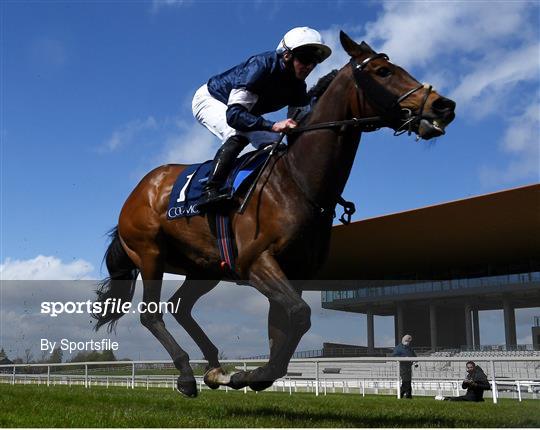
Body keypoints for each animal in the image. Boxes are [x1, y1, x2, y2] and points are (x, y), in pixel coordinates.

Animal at [94, 32, 456, 396]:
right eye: (382, 71)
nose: (443, 105)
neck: (295, 179)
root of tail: (139, 190)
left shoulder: (293, 272)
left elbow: (284, 328)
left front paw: (252, 375)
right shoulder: (255, 261)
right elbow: (299, 314)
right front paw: (251, 374)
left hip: (204, 268)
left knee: (180, 307)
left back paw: (215, 369)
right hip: (149, 253)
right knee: (151, 314)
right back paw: (185, 373)